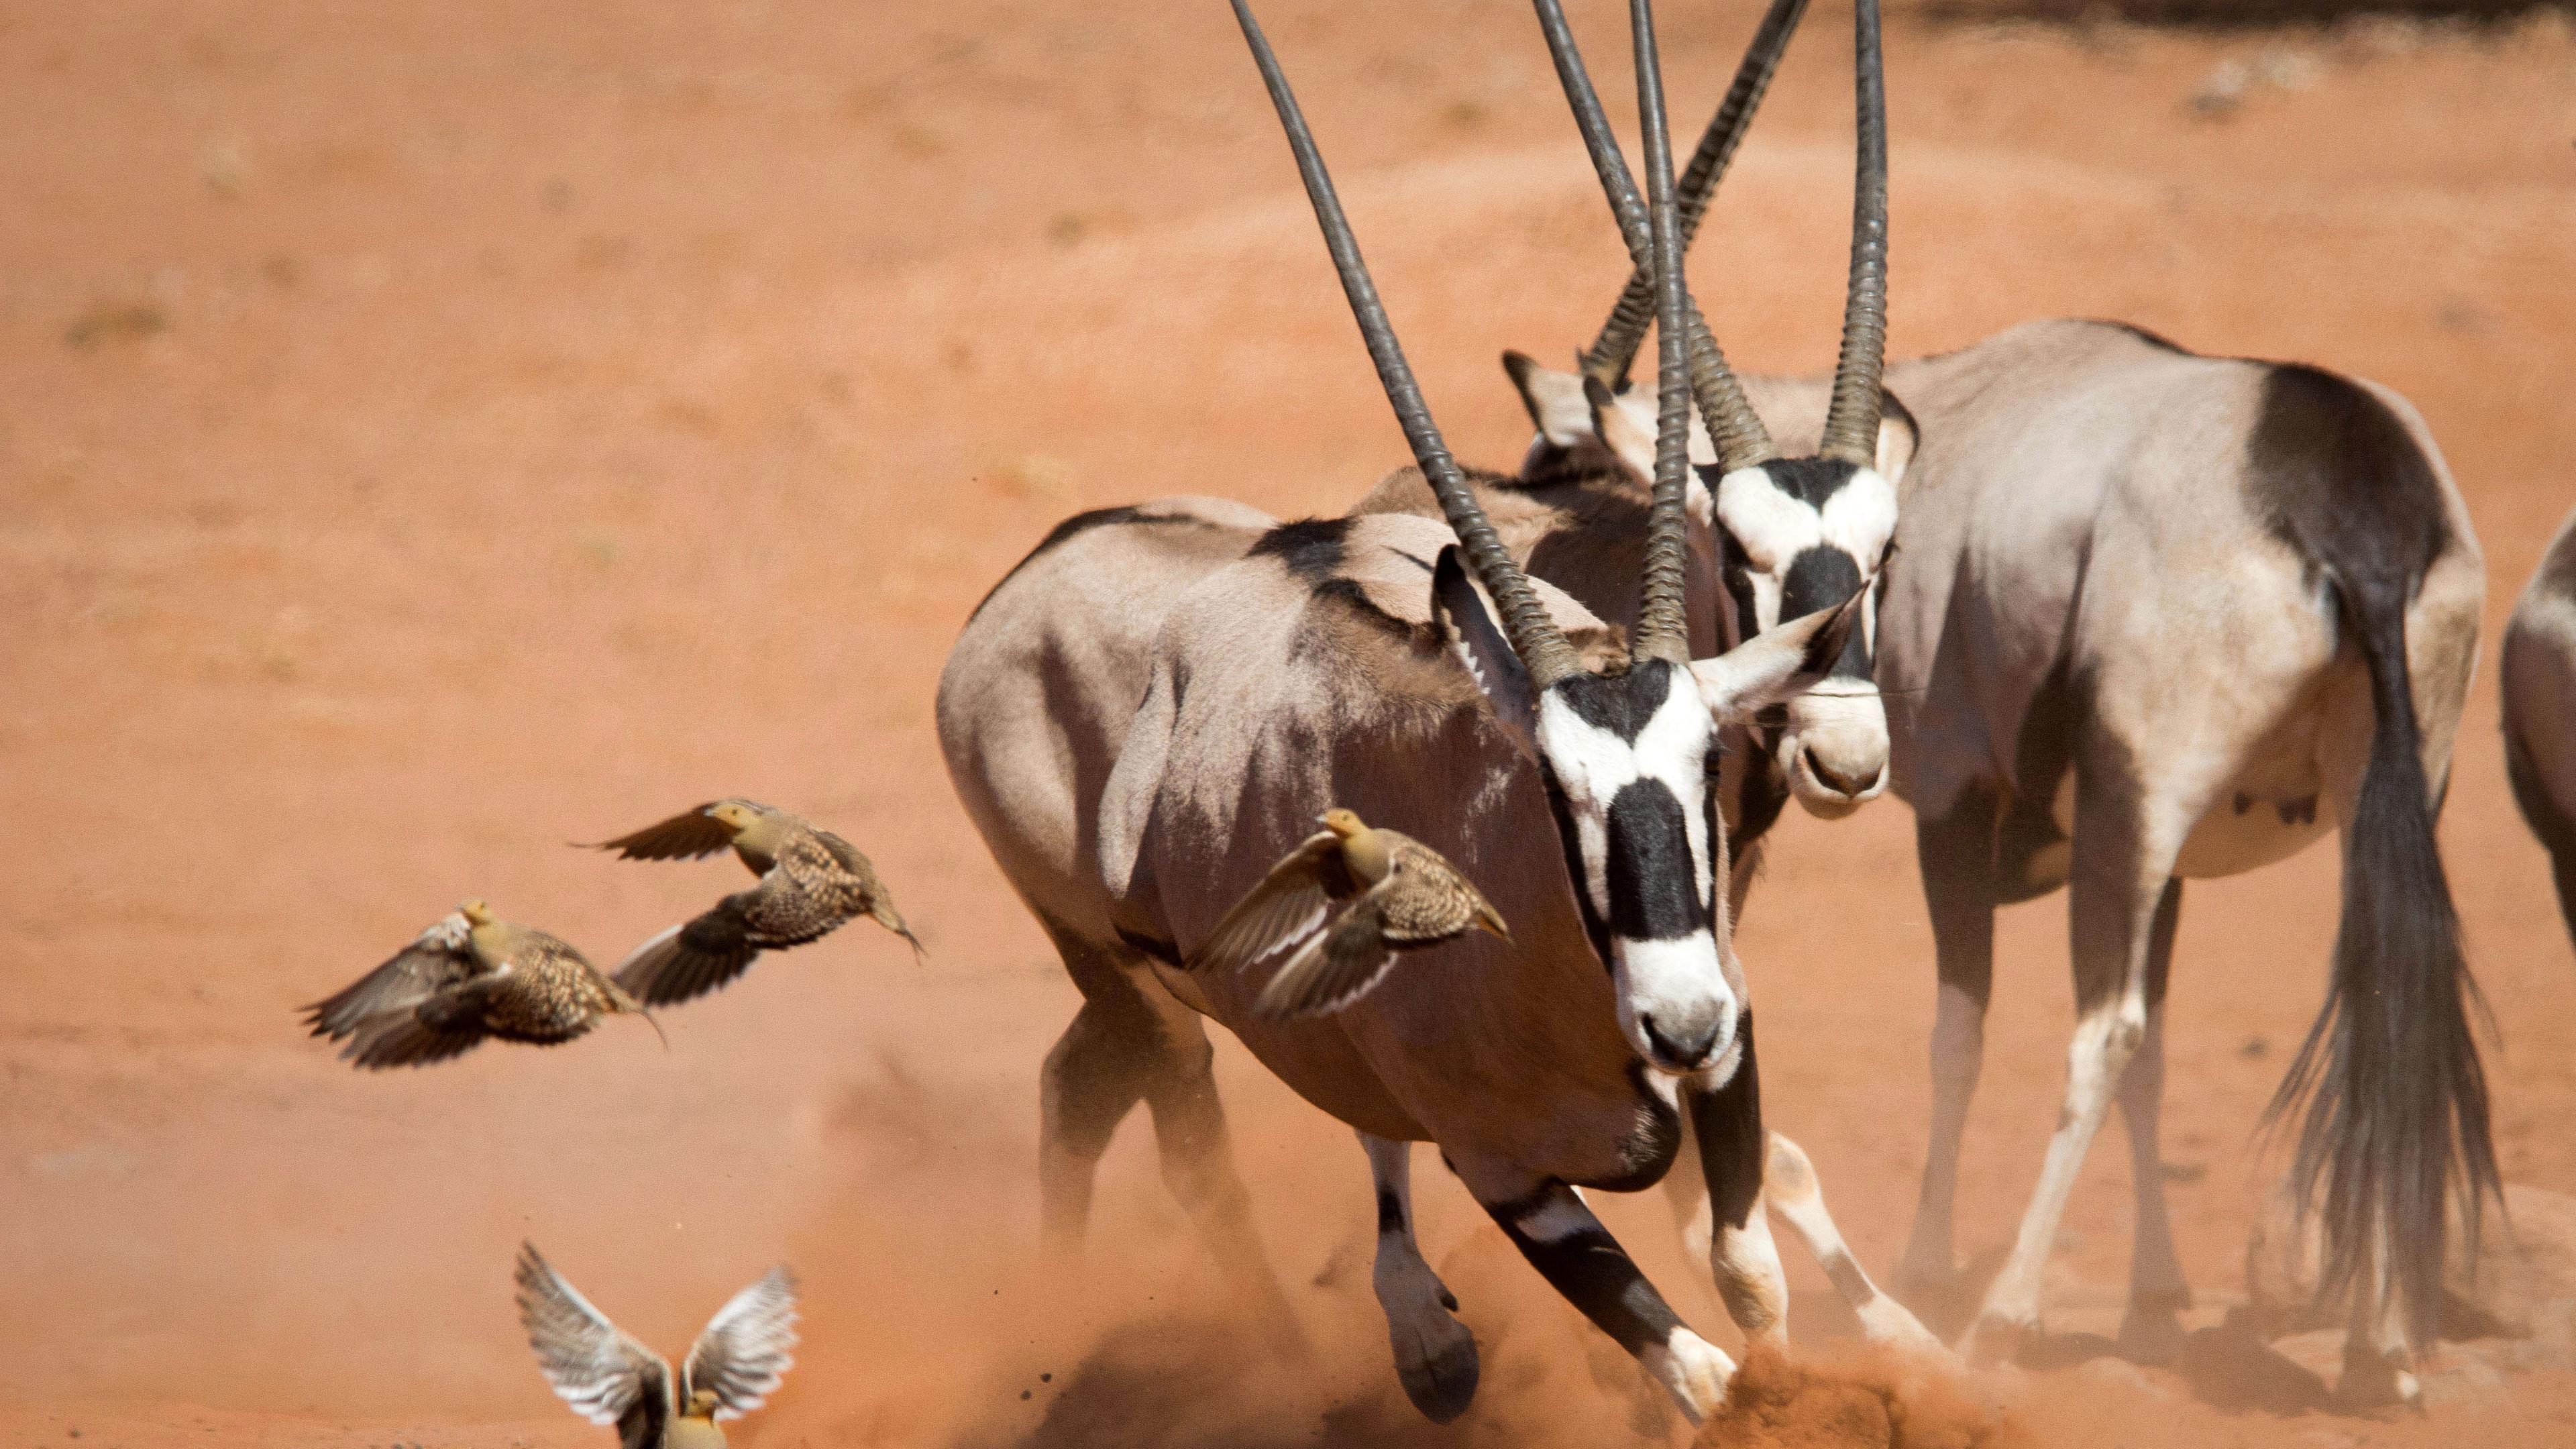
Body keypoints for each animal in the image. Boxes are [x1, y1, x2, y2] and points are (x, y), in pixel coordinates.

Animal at [943, 0, 1916, 1423]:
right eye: (1556, 789)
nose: (1844, 750)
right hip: (1129, 982)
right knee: (1185, 1139)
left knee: (1086, 1091)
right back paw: (1275, 1361)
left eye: (1886, 552)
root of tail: (1028, 576)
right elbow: (1700, 1373)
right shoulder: (1507, 1170)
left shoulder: (1725, 1063)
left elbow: (1750, 1275)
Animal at [1535, 313, 2483, 1402]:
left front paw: (1929, 1268)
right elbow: (2157, 1056)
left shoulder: (1958, 808)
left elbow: (1963, 1034)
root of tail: (2352, 494)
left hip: (2138, 806)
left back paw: (2006, 1314)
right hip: (2373, 798)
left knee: (2101, 1035)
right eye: (1740, 551)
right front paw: (2153, 1304)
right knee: (2386, 1003)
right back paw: (2383, 1347)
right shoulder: (2171, 871)